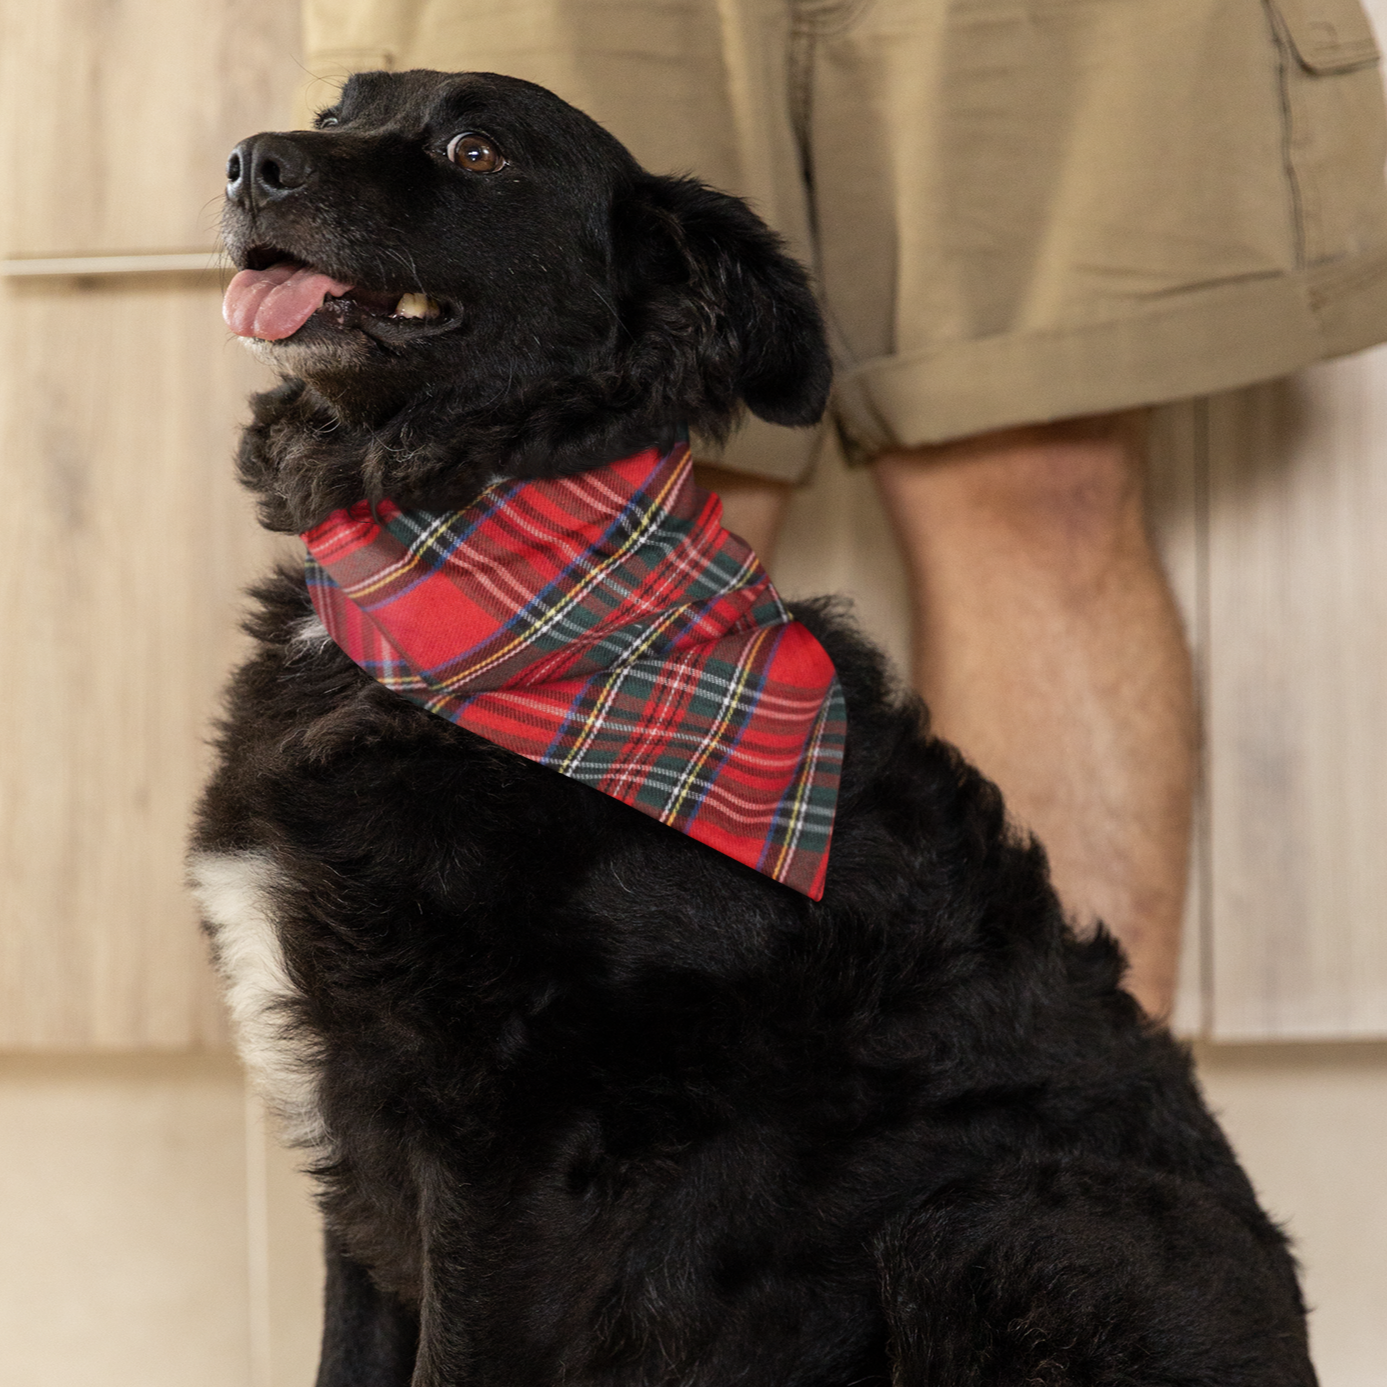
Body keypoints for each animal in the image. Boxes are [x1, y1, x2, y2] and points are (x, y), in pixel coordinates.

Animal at [190, 70, 1314, 1381]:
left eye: (476, 151)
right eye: (340, 109)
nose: (247, 162)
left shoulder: (507, 1153)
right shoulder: (361, 1144)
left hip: (998, 1221)